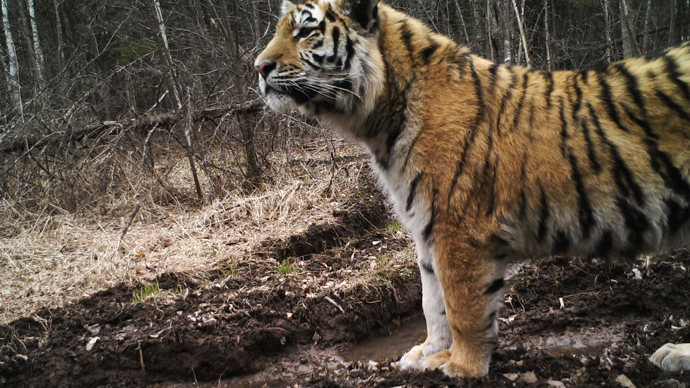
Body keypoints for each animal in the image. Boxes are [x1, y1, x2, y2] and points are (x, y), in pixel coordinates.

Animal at [255, 0, 688, 378]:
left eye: (306, 31)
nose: (258, 67)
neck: (380, 117)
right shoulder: (424, 225)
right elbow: (431, 300)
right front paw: (427, 352)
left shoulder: (458, 226)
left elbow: (461, 304)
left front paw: (461, 366)